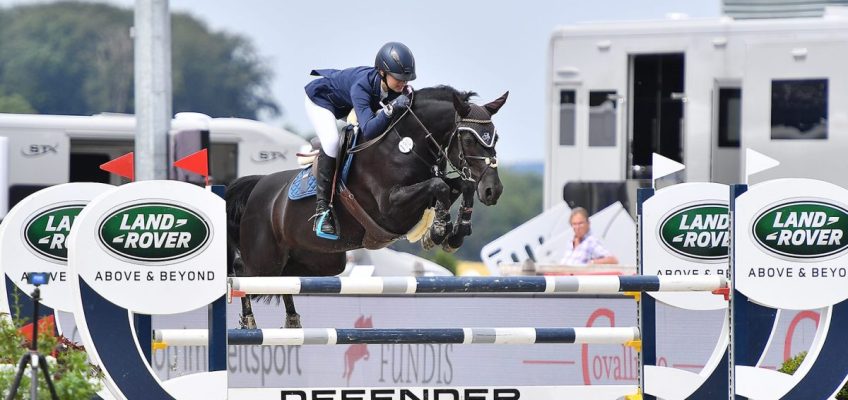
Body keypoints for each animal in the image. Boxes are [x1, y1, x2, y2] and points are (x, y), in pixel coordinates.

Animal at [222, 85, 510, 328]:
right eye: (469, 139)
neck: (405, 146)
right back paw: (249, 321)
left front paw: (454, 233)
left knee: (288, 279)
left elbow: (461, 186)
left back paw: (292, 321)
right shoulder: (390, 209)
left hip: (323, 261)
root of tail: (258, 187)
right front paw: (439, 230)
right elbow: (438, 185)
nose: (493, 190)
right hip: (265, 260)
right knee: (242, 271)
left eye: (495, 138)